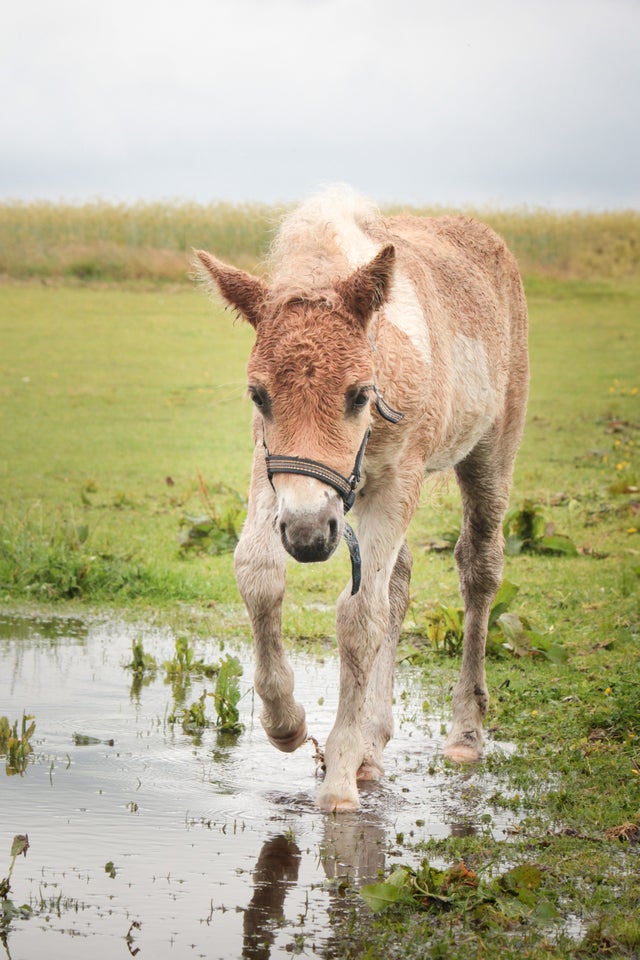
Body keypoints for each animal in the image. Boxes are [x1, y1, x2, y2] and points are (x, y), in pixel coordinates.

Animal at [198, 188, 528, 808]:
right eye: (258, 395)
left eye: (358, 394)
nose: (308, 536)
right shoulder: (269, 469)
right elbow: (258, 573)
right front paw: (288, 725)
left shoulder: (400, 479)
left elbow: (359, 616)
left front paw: (339, 786)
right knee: (397, 582)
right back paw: (374, 747)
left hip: (491, 453)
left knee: (479, 568)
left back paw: (464, 734)